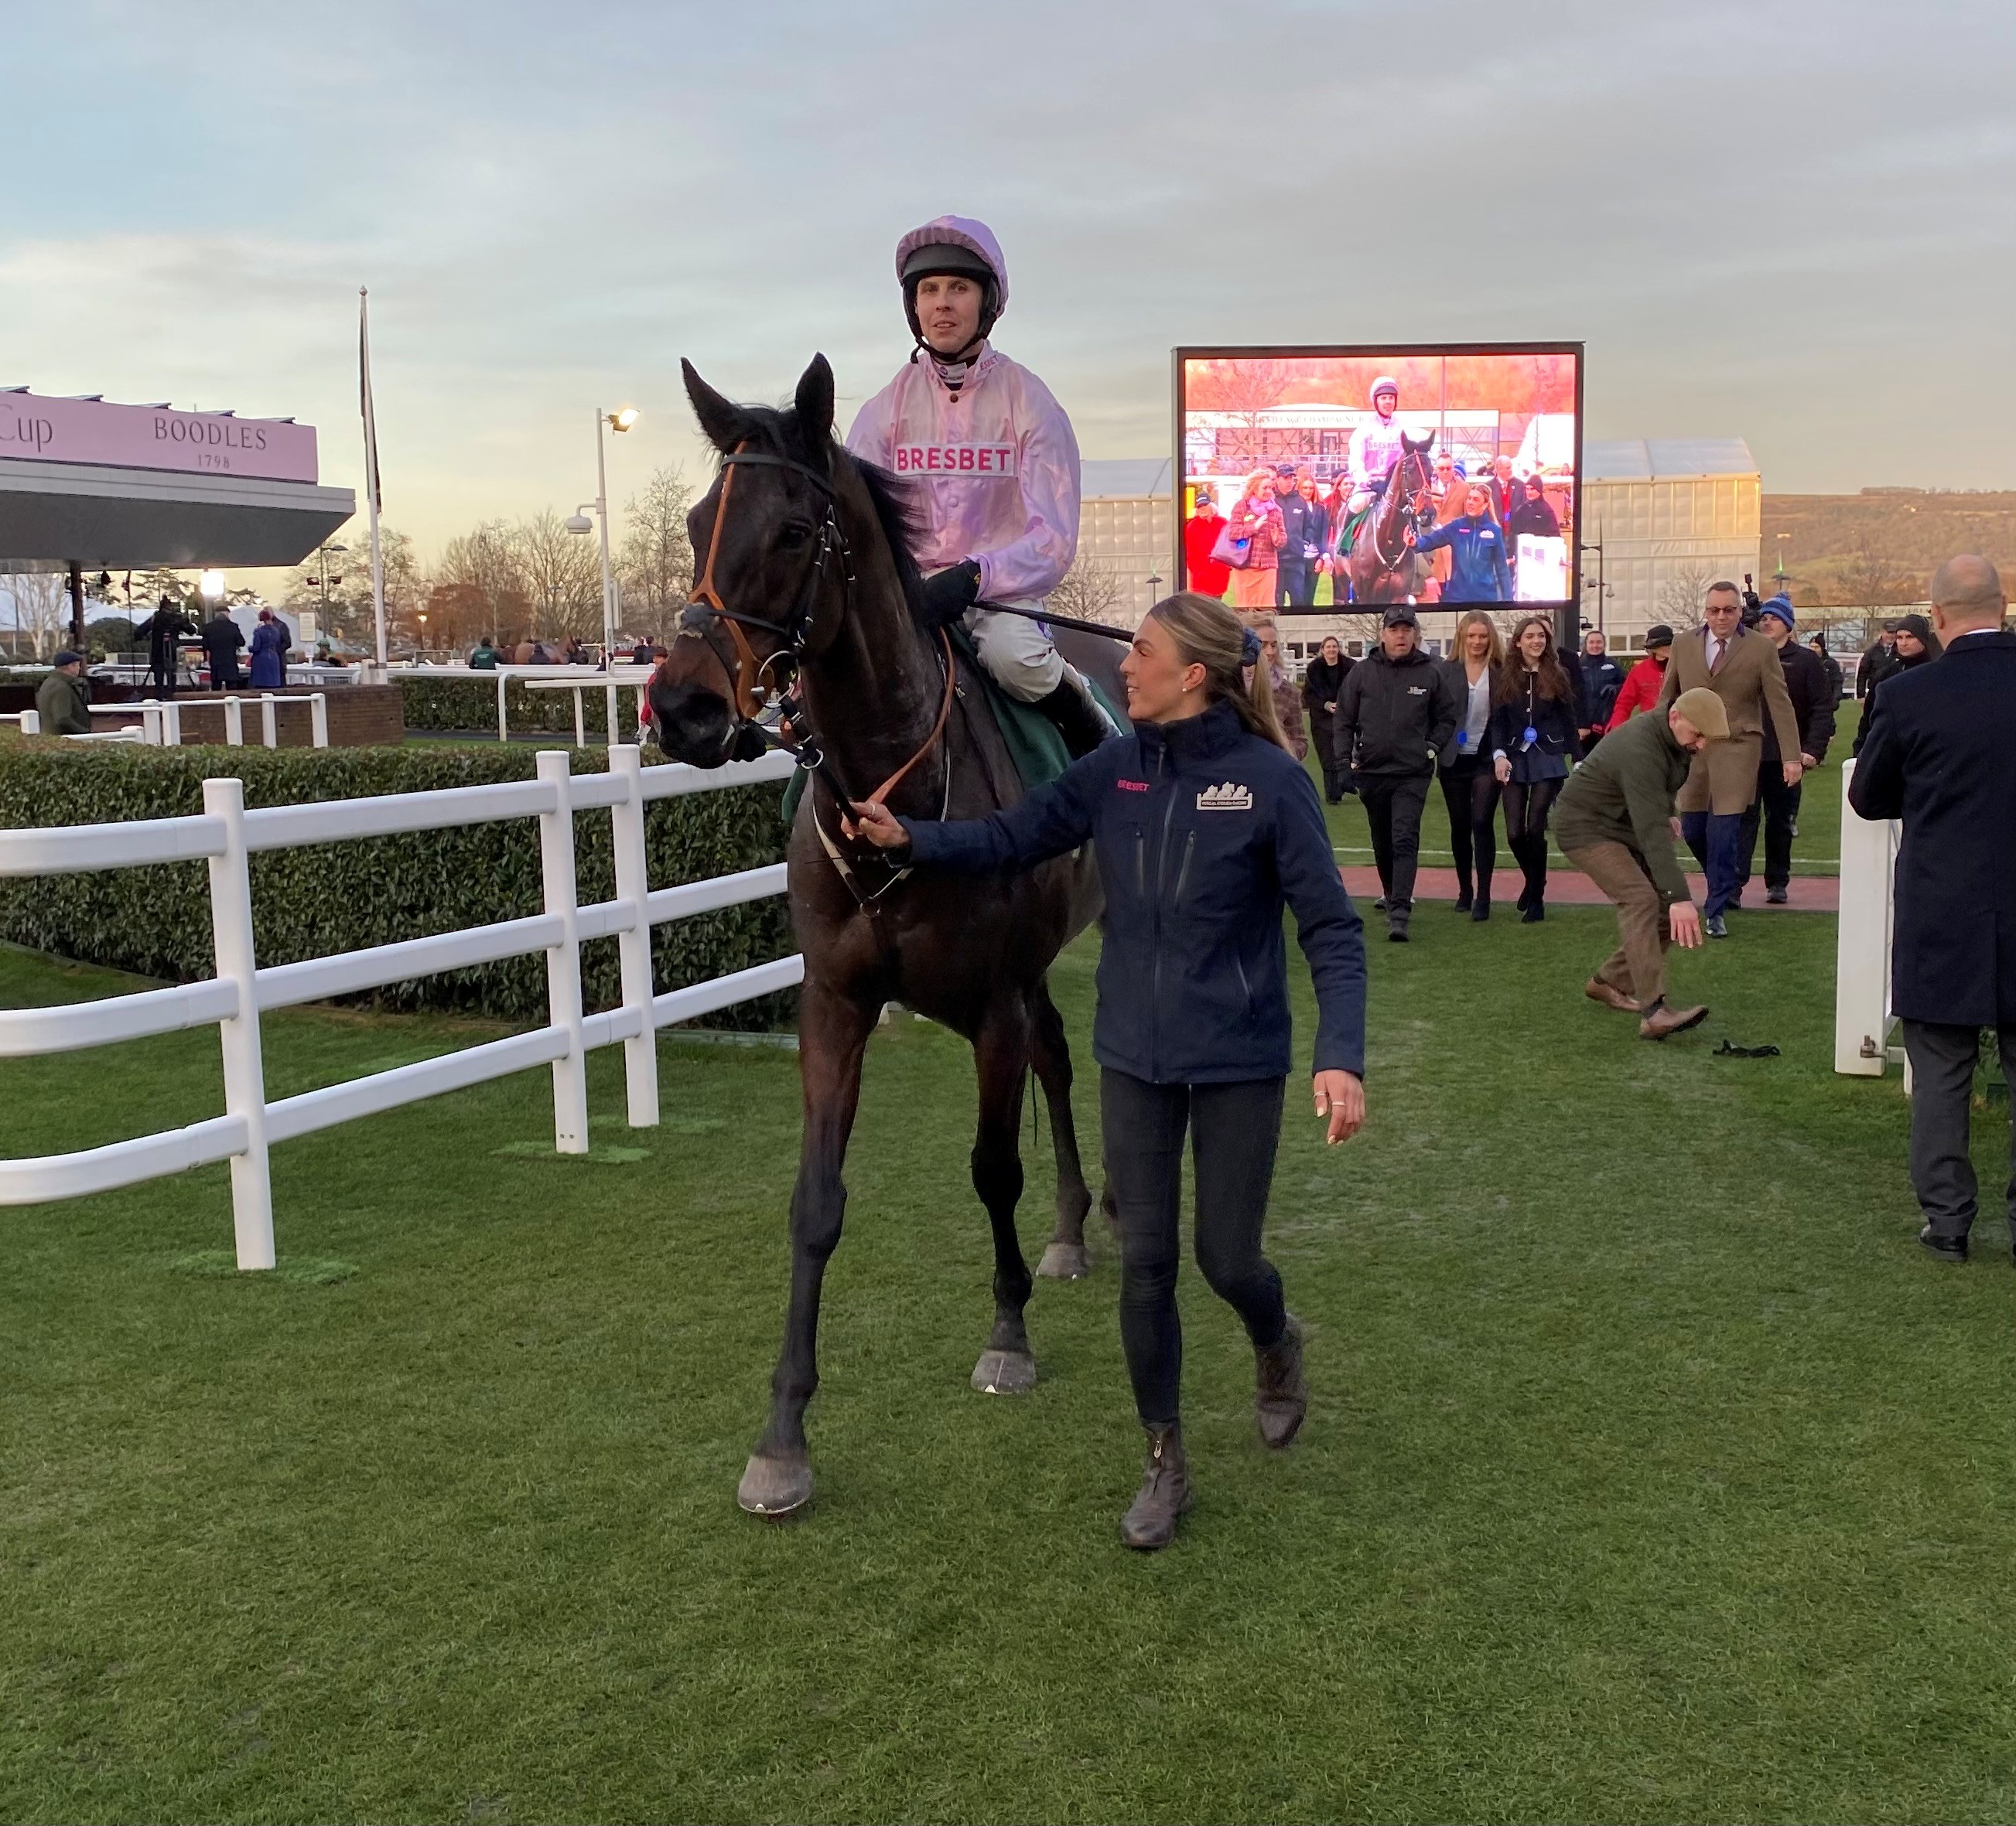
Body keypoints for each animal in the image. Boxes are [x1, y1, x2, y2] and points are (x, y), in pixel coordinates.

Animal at [653, 353, 1105, 1507]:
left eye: (789, 531)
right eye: (694, 524)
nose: (677, 708)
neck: (891, 788)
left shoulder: (988, 1004)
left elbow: (991, 1168)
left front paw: (1006, 1336)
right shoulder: (835, 1002)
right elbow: (815, 1201)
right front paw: (782, 1433)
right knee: (1058, 1059)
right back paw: (1073, 1229)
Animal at [1346, 431, 1443, 600]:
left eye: (1432, 472)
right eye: (1410, 471)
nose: (1428, 514)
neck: (1388, 543)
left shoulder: (1400, 593)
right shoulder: (1365, 594)